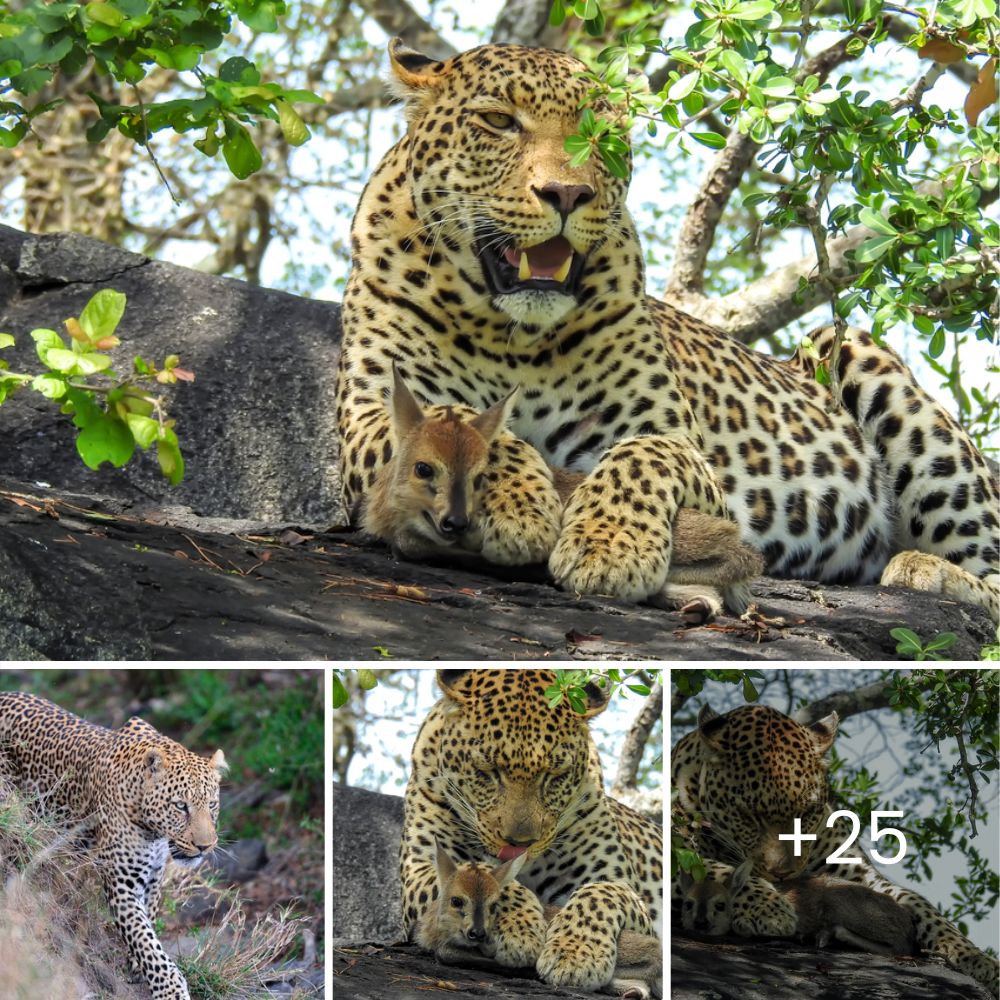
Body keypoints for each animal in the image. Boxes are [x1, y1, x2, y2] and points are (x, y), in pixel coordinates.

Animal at [0, 692, 227, 996]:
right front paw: (169, 988)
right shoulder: (122, 881)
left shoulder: (154, 875)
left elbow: (148, 920)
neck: (152, 829)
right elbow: (143, 936)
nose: (205, 846)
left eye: (212, 804)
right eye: (180, 806)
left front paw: (136, 964)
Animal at [334, 41, 1000, 624]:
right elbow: (465, 430)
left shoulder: (684, 452)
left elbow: (640, 456)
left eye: (599, 132)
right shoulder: (374, 416)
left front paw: (609, 547)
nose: (567, 193)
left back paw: (928, 570)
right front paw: (523, 507)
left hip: (858, 356)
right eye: (499, 121)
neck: (511, 333)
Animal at [398, 668, 664, 988]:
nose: (519, 843)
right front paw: (519, 928)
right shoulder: (420, 867)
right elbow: (481, 877)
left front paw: (576, 954)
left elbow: (600, 894)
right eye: (488, 771)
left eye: (555, 775)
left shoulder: (622, 886)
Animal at [672, 704, 1000, 992]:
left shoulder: (858, 876)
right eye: (748, 816)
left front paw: (979, 961)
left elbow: (923, 909)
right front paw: (770, 909)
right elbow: (710, 868)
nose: (783, 875)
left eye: (807, 813)